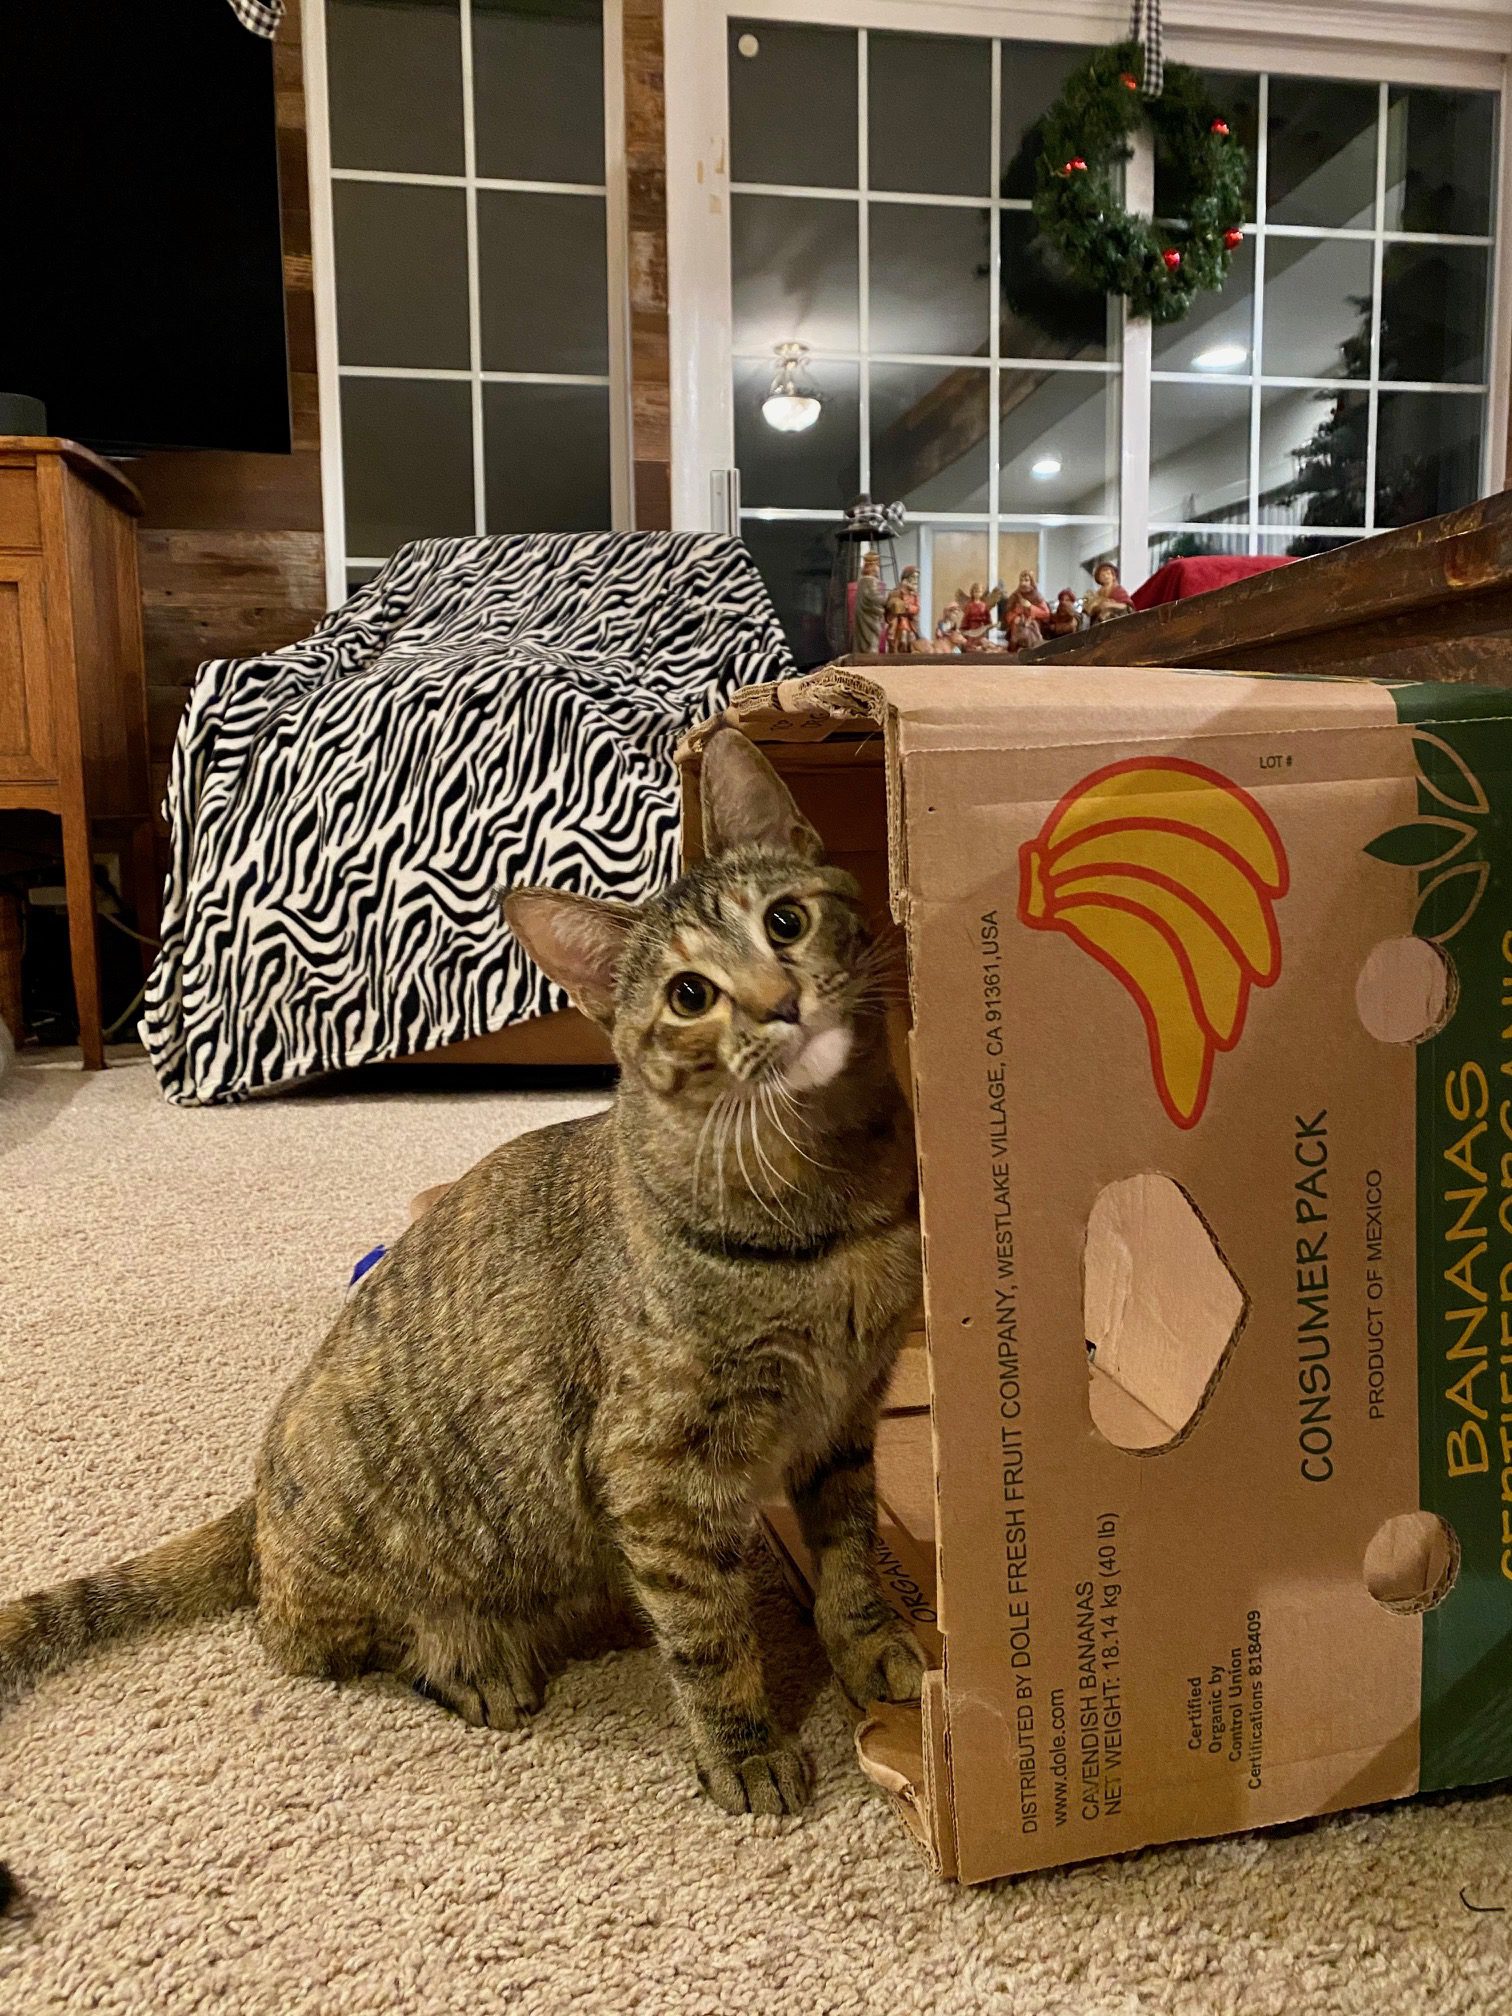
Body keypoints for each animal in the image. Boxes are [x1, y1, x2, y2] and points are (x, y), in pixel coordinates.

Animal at [0, 728, 924, 1817]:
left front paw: (871, 1648)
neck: (829, 1201)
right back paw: (475, 1664)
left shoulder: (845, 1421)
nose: (782, 1005)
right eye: (689, 995)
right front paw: (741, 1746)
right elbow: (707, 1631)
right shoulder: (656, 1467)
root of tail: (258, 1497)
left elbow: (850, 1562)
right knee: (322, 1642)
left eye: (786, 920)